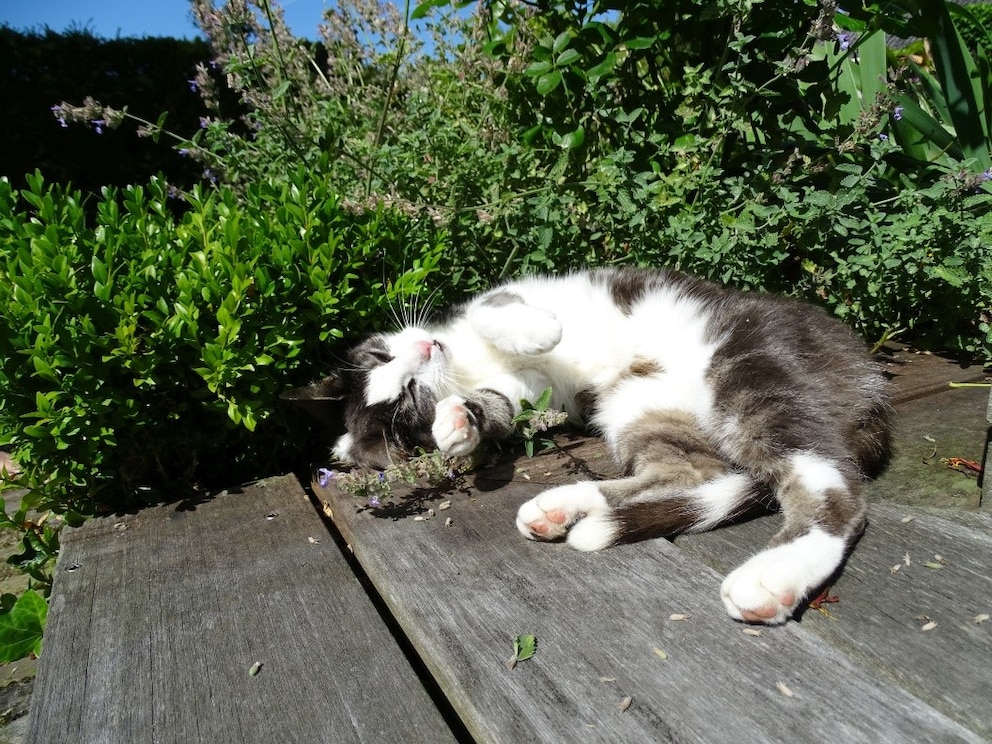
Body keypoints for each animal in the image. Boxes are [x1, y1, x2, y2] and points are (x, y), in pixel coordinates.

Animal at [318, 268, 892, 620]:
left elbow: (492, 307)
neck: (465, 364)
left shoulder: (508, 297)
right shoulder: (523, 396)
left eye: (381, 355)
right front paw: (456, 421)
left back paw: (773, 574)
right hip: (640, 406)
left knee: (833, 486)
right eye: (409, 394)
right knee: (695, 473)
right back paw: (565, 506)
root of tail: (869, 379)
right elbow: (492, 407)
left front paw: (539, 330)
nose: (422, 346)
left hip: (749, 363)